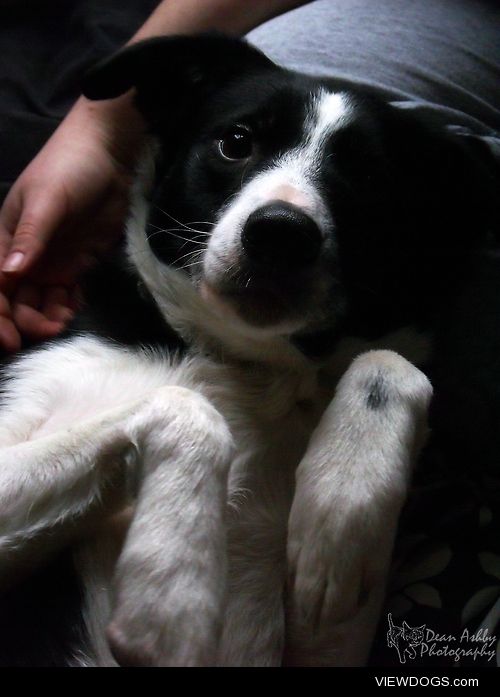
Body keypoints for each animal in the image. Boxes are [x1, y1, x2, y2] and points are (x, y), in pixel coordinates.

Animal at [0, 35, 500, 668]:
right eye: (236, 142)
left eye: (368, 177)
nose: (281, 232)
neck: (244, 361)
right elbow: (187, 406)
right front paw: (175, 583)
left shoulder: (322, 648)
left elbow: (388, 362)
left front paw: (339, 513)